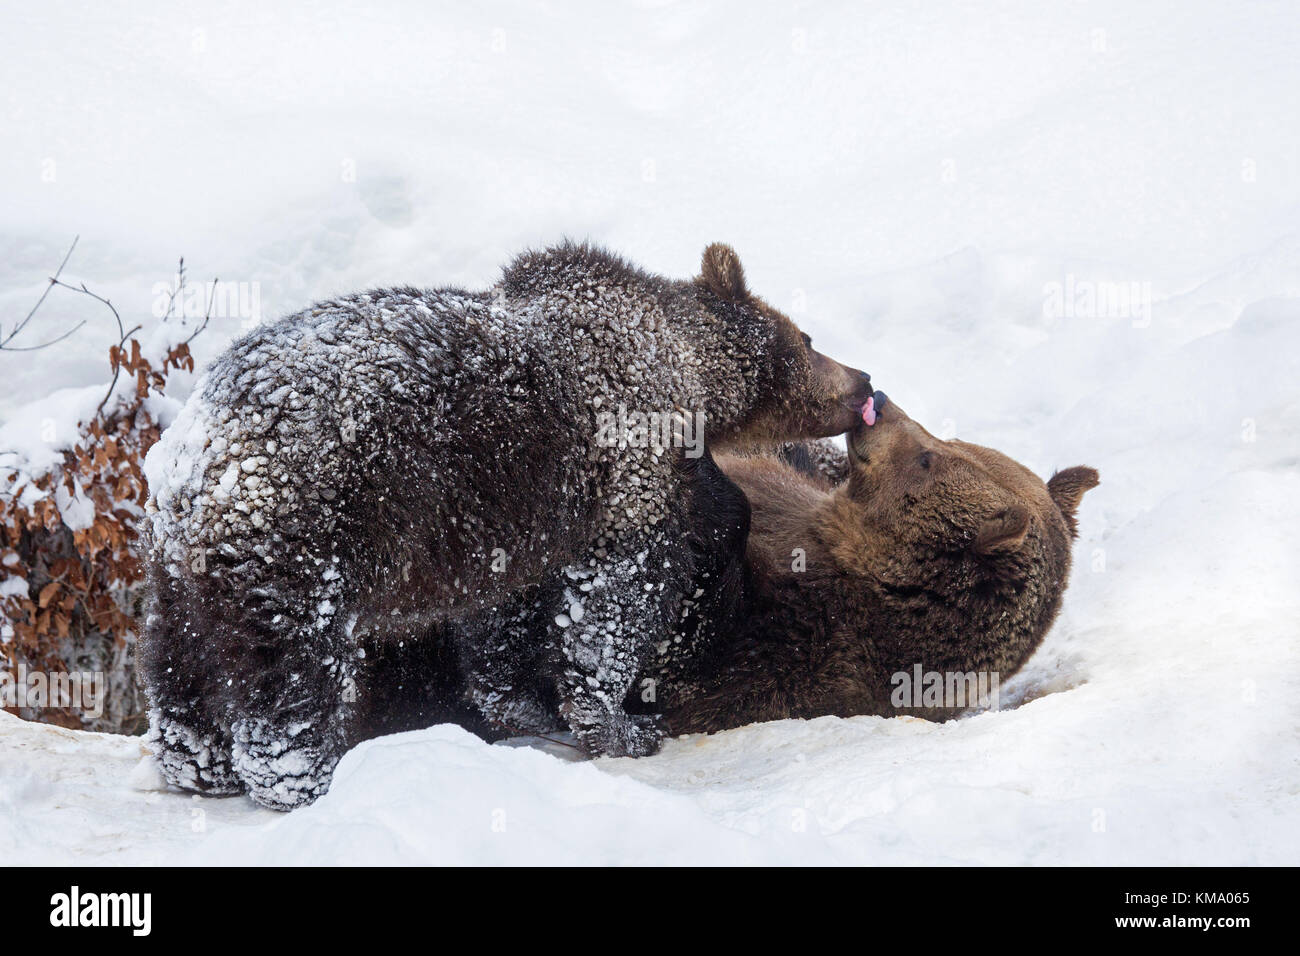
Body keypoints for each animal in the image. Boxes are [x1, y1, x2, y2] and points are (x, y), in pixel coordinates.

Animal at [139, 239, 873, 806]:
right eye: (809, 338)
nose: (865, 380)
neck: (688, 373)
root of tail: (189, 457)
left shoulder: (513, 519)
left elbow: (504, 618)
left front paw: (523, 702)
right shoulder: (624, 463)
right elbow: (616, 600)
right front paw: (621, 722)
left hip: (181, 575)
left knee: (180, 670)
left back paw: (199, 765)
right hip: (302, 542)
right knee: (293, 678)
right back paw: (305, 776)